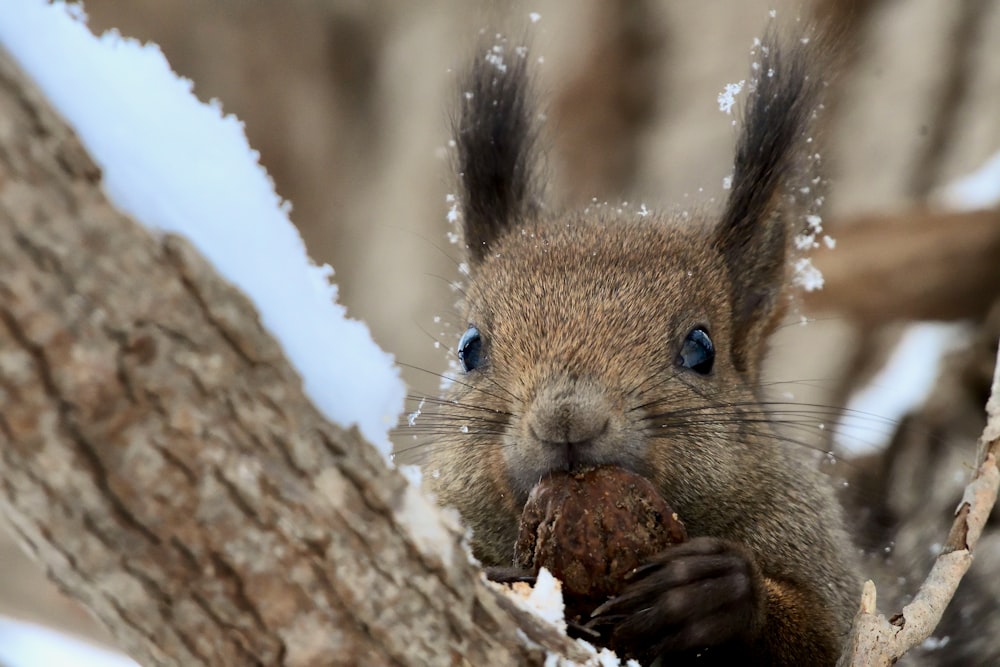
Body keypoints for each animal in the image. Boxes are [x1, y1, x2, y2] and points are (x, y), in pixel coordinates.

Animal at [418, 28, 864, 664]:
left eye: (701, 349)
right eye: (469, 347)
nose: (567, 420)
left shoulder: (813, 549)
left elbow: (824, 636)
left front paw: (710, 593)